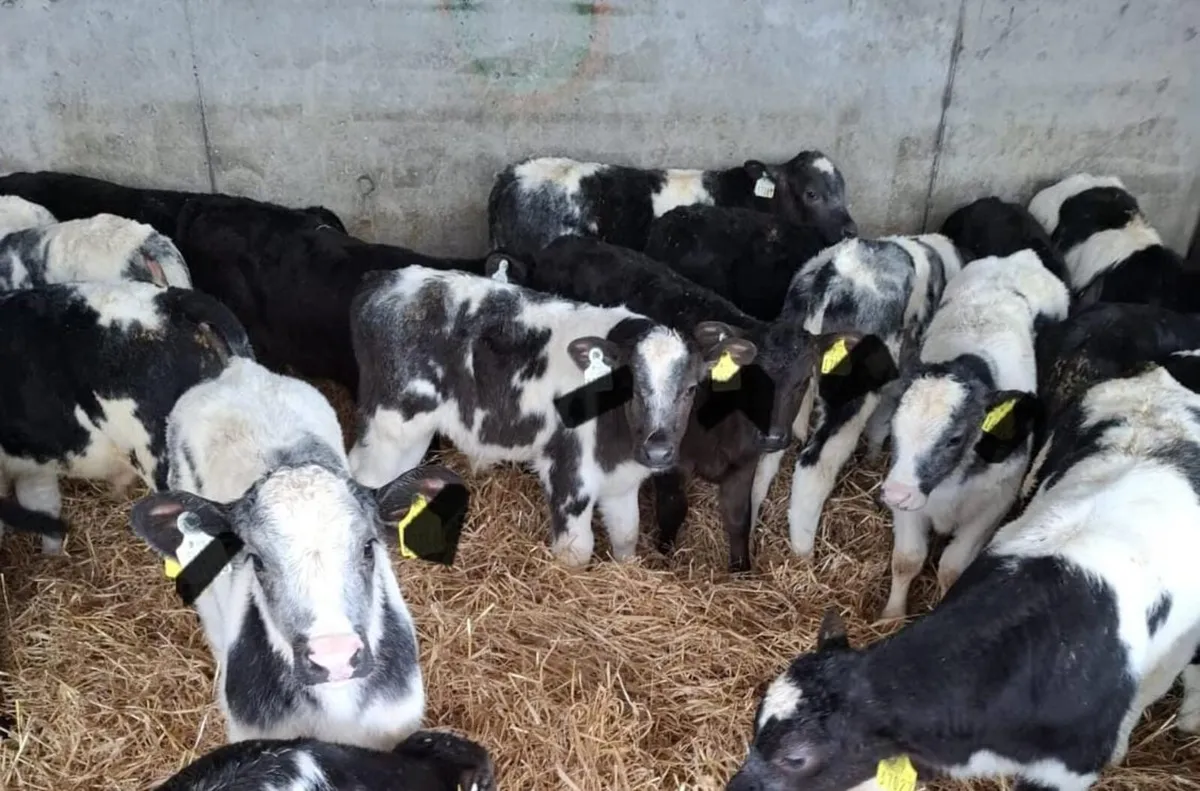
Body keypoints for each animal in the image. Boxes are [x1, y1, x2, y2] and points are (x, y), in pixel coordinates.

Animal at [348, 264, 709, 568]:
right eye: (628, 384)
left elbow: (627, 536)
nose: (657, 451)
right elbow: (576, 551)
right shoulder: (568, 470)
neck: (618, 443)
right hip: (390, 425)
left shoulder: (622, 482)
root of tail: (384, 282)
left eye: (691, 388)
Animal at [497, 235, 865, 572]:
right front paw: (664, 557)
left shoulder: (743, 463)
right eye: (748, 378)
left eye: (804, 380)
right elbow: (674, 509)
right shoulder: (671, 461)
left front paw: (741, 571)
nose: (772, 437)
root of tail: (566, 240)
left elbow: (738, 518)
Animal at [751, 235, 962, 558]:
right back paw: (804, 553)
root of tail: (832, 279)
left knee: (766, 455)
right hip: (850, 397)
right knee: (815, 464)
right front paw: (874, 458)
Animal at [878, 251, 1070, 619]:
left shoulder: (994, 504)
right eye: (894, 426)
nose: (896, 492)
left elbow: (952, 568)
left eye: (955, 438)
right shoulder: (908, 503)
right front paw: (890, 616)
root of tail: (1021, 257)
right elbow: (907, 560)